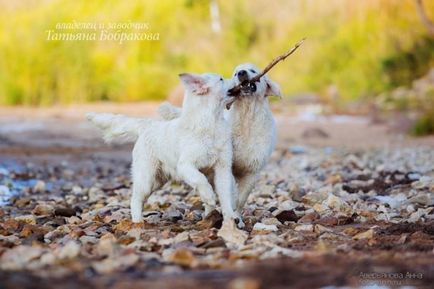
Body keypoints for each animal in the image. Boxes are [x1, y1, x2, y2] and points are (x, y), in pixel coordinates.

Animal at [85, 72, 241, 225]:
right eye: (221, 79)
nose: (238, 77)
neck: (211, 121)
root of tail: (146, 125)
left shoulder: (222, 168)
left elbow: (225, 196)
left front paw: (230, 218)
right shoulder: (185, 165)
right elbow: (200, 180)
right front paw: (209, 196)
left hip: (158, 180)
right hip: (146, 178)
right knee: (135, 199)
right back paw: (138, 221)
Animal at [158, 63, 280, 212]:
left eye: (252, 70)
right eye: (235, 73)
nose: (241, 73)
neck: (247, 118)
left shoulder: (252, 171)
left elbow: (241, 198)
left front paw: (236, 214)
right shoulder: (228, 166)